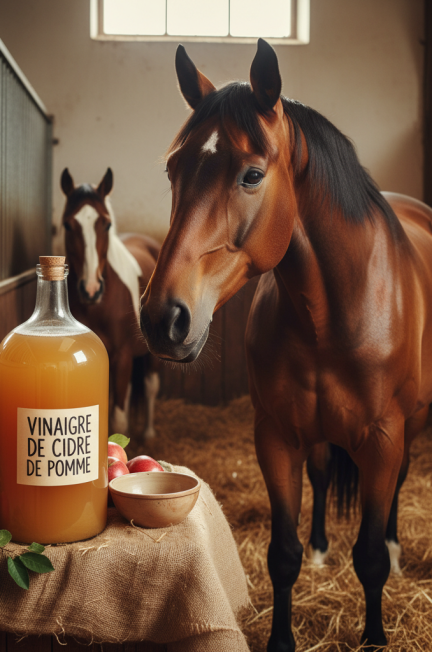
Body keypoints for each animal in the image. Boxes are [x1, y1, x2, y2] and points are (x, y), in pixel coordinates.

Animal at [61, 168, 160, 441]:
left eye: (106, 224)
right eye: (67, 224)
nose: (91, 289)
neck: (98, 307)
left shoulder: (122, 357)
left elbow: (118, 421)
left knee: (150, 386)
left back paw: (149, 433)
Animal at [139, 39, 432, 650]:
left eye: (252, 175)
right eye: (174, 168)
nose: (161, 318)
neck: (333, 314)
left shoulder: (383, 439)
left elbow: (369, 555)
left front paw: (375, 633)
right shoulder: (275, 436)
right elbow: (283, 554)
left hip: (411, 426)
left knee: (398, 487)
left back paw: (396, 549)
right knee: (320, 477)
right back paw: (323, 547)